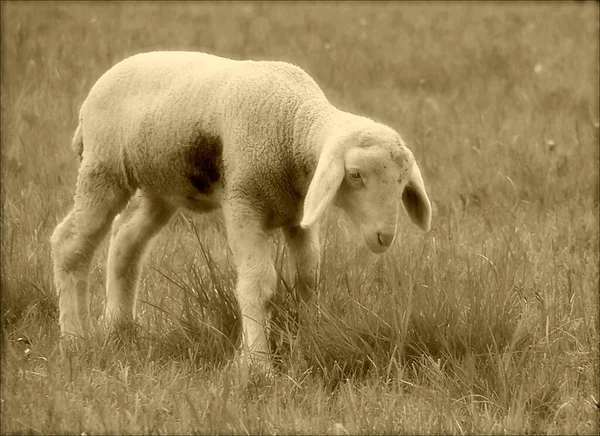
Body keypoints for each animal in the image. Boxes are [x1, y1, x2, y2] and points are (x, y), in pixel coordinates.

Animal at [48, 52, 432, 372]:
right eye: (355, 175)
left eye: (402, 182)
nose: (385, 236)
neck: (293, 124)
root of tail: (89, 100)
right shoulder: (244, 203)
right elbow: (257, 282)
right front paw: (257, 363)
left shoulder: (299, 212)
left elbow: (308, 276)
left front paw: (309, 339)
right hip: (104, 170)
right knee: (70, 244)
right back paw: (74, 339)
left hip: (162, 187)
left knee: (126, 241)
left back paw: (118, 327)